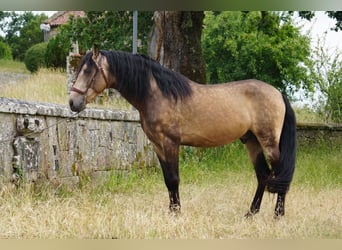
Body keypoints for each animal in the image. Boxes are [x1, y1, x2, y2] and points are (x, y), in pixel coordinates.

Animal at [68, 46, 296, 218]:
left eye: (88, 71)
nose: (72, 102)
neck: (157, 93)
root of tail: (278, 93)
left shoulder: (171, 143)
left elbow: (174, 179)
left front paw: (177, 213)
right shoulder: (158, 145)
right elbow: (168, 180)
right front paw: (172, 211)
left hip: (269, 142)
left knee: (280, 174)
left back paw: (278, 214)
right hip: (251, 141)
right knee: (263, 175)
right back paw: (251, 213)